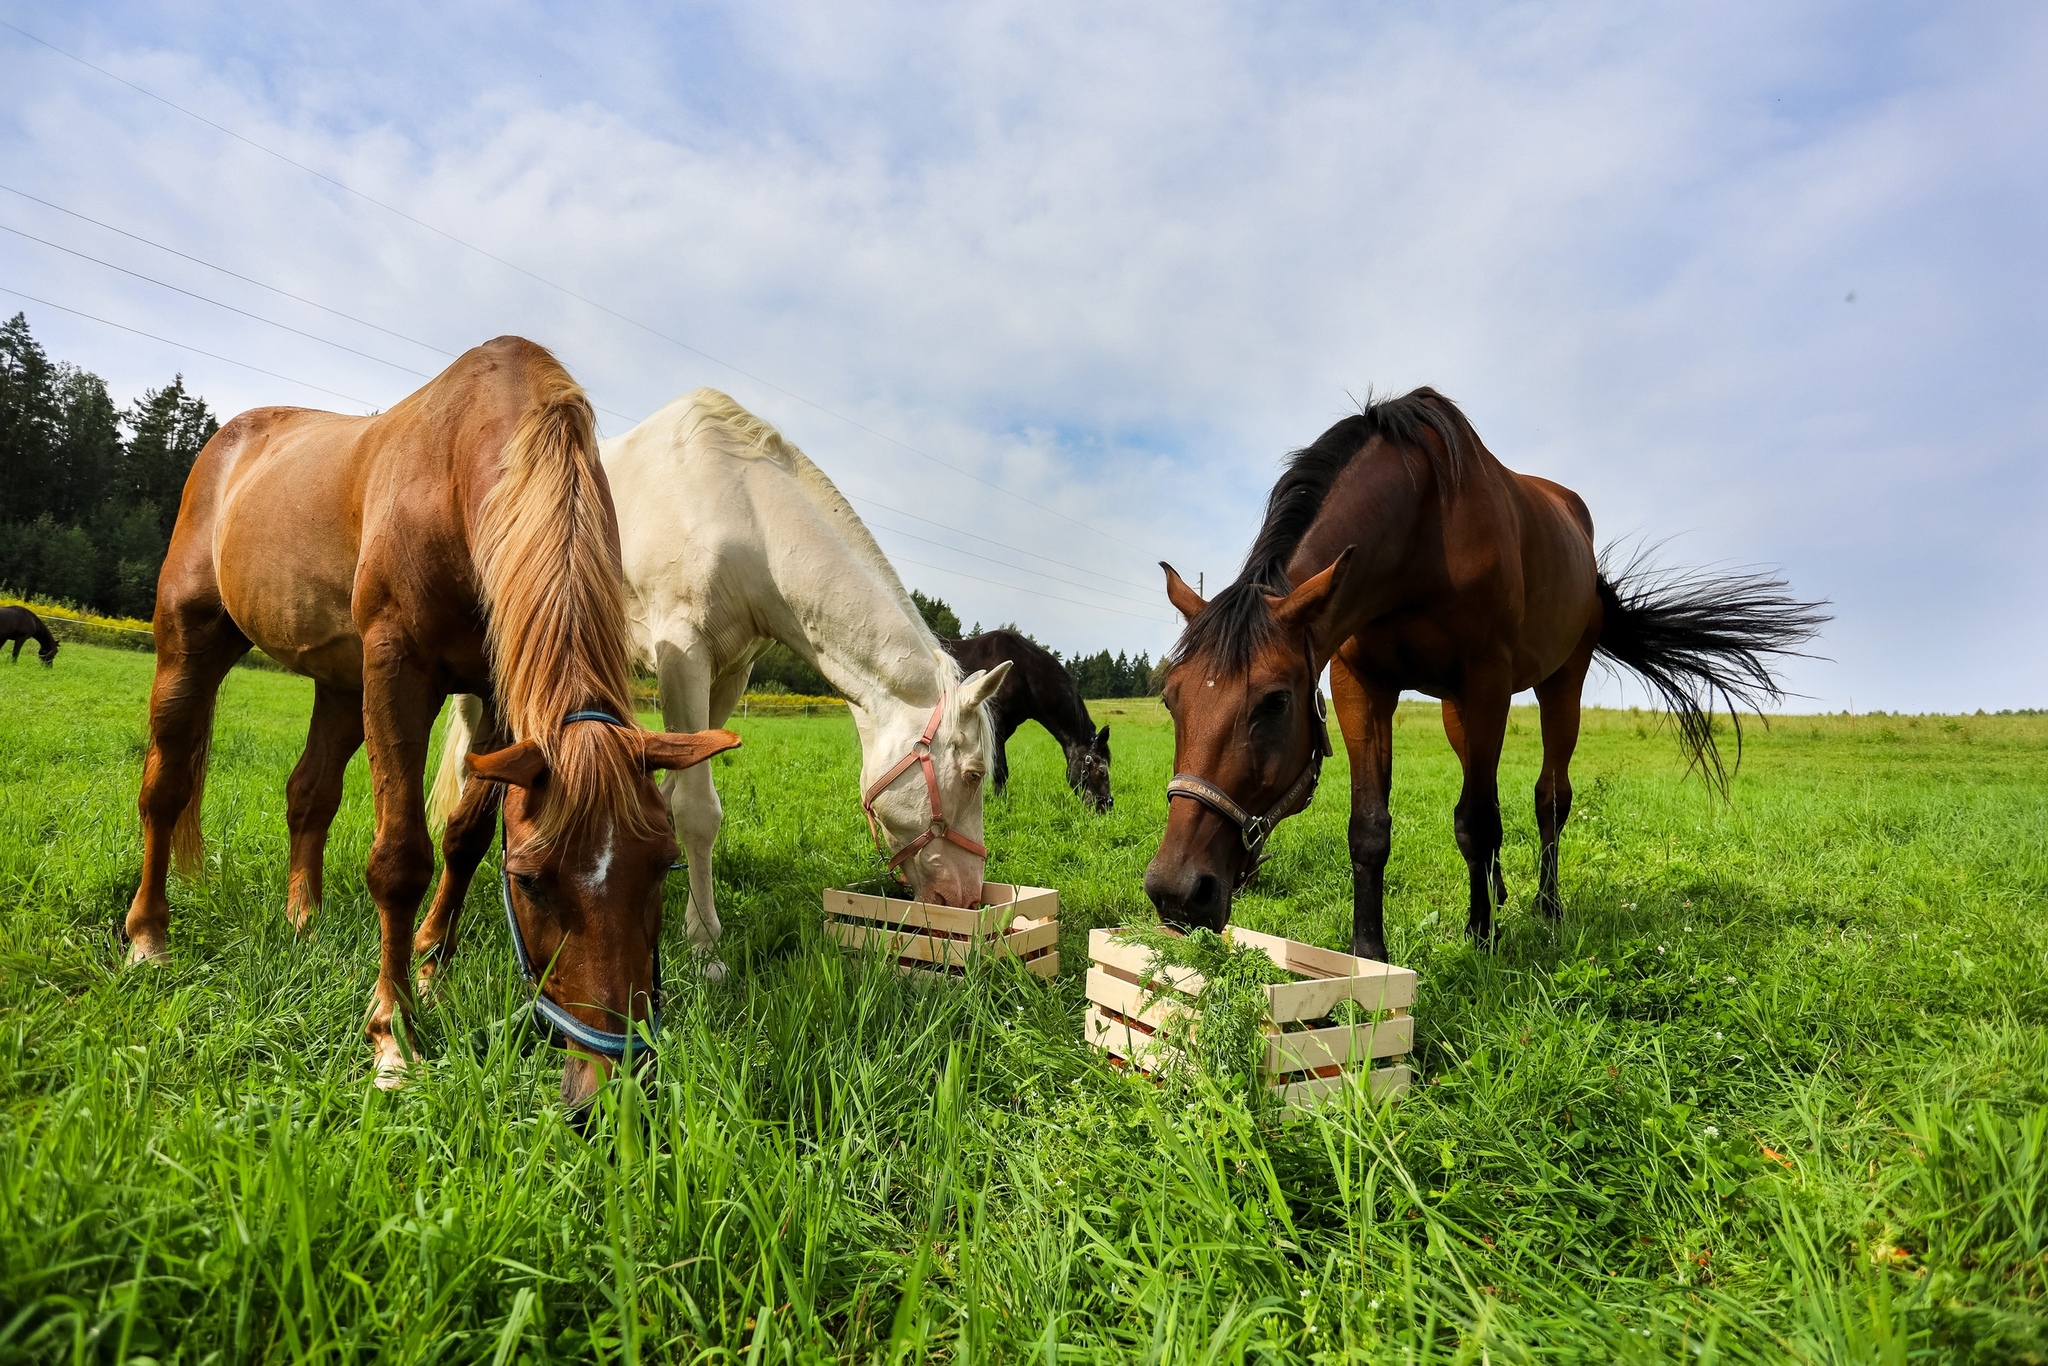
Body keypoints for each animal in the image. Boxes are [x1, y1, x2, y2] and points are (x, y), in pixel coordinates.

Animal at [132, 339, 737, 1097]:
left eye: (663, 865)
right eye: (530, 880)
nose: (611, 1081)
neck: (456, 472)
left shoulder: (500, 697)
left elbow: (466, 836)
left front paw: (431, 969)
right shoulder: (398, 670)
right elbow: (400, 858)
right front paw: (393, 1032)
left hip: (341, 687)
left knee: (308, 794)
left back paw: (304, 920)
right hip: (191, 641)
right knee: (165, 788)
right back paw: (148, 937)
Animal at [419, 389, 1011, 978]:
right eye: (975, 774)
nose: (966, 898)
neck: (742, 517)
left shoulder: (728, 675)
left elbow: (673, 790)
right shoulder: (682, 655)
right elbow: (698, 810)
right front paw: (705, 943)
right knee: (468, 762)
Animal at [946, 630, 1114, 810]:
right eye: (1102, 770)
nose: (1106, 807)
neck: (1022, 672)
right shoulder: (995, 725)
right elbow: (1000, 770)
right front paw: (1001, 804)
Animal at [1146, 385, 1835, 962]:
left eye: (1275, 702)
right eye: (1172, 699)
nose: (1176, 889)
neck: (1420, 529)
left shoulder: (1486, 683)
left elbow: (1479, 821)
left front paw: (1481, 938)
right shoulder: (1362, 686)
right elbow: (1372, 828)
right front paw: (1369, 954)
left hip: (1558, 684)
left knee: (1548, 797)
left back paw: (1544, 906)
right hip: (1457, 709)